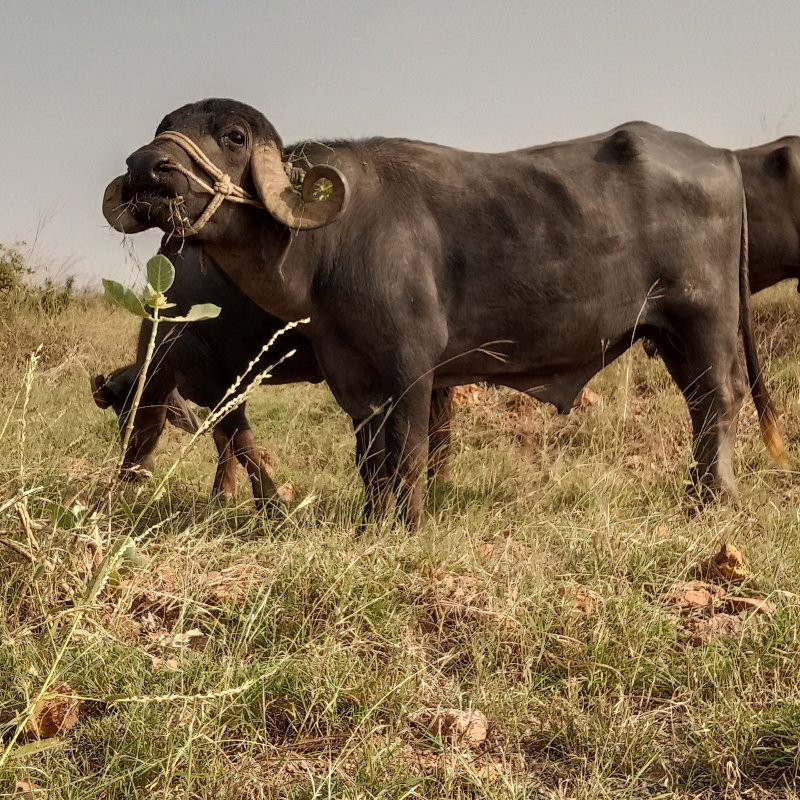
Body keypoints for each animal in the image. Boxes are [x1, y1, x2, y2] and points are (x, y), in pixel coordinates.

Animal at [92, 244, 456, 506]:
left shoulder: (215, 384)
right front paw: (223, 495)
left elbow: (241, 442)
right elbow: (224, 440)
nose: (129, 472)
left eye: (128, 413)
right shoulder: (234, 384)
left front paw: (270, 502)